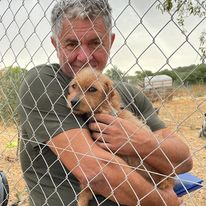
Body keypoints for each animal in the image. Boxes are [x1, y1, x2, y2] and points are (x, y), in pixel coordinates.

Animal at [67, 67, 174, 205]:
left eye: (92, 89)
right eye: (74, 86)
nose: (73, 102)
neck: (105, 109)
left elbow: (89, 185)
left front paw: (83, 197)